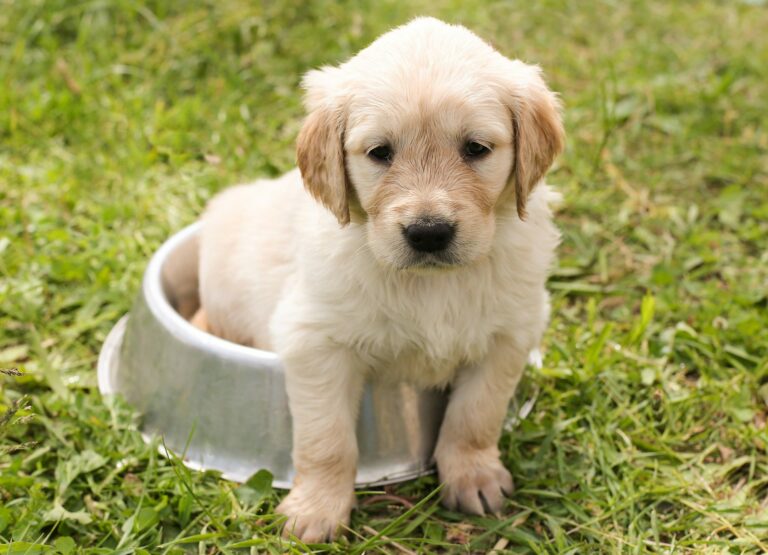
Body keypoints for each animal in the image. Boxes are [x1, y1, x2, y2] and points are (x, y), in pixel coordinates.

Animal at [198, 16, 564, 544]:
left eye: (476, 148)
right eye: (380, 153)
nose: (428, 232)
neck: (433, 284)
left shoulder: (510, 334)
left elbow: (476, 416)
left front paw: (473, 476)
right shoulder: (315, 341)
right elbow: (327, 439)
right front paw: (315, 510)